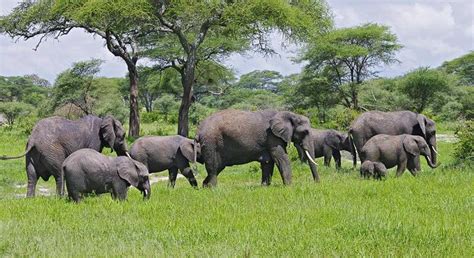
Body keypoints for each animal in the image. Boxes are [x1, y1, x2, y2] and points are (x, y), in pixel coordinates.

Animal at [0, 115, 128, 198]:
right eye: (123, 136)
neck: (103, 120)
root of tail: (33, 138)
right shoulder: (95, 140)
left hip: (32, 154)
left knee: (32, 176)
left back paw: (30, 199)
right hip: (51, 150)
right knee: (59, 174)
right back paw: (61, 197)